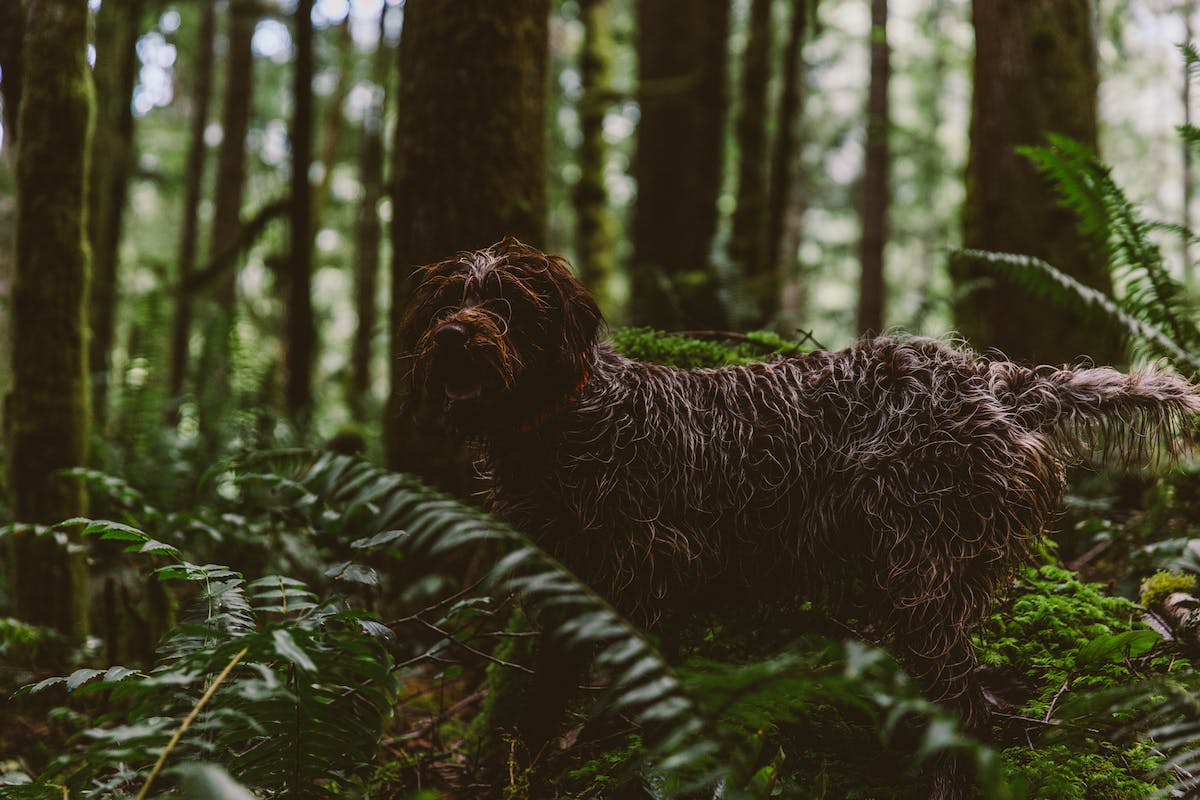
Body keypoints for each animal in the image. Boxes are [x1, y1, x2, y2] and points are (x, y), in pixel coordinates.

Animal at [400, 236, 1200, 796]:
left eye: (508, 305)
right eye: (448, 302)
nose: (453, 337)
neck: (560, 424)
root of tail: (997, 382)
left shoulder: (644, 577)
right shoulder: (568, 583)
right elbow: (544, 692)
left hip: (920, 571)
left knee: (964, 708)